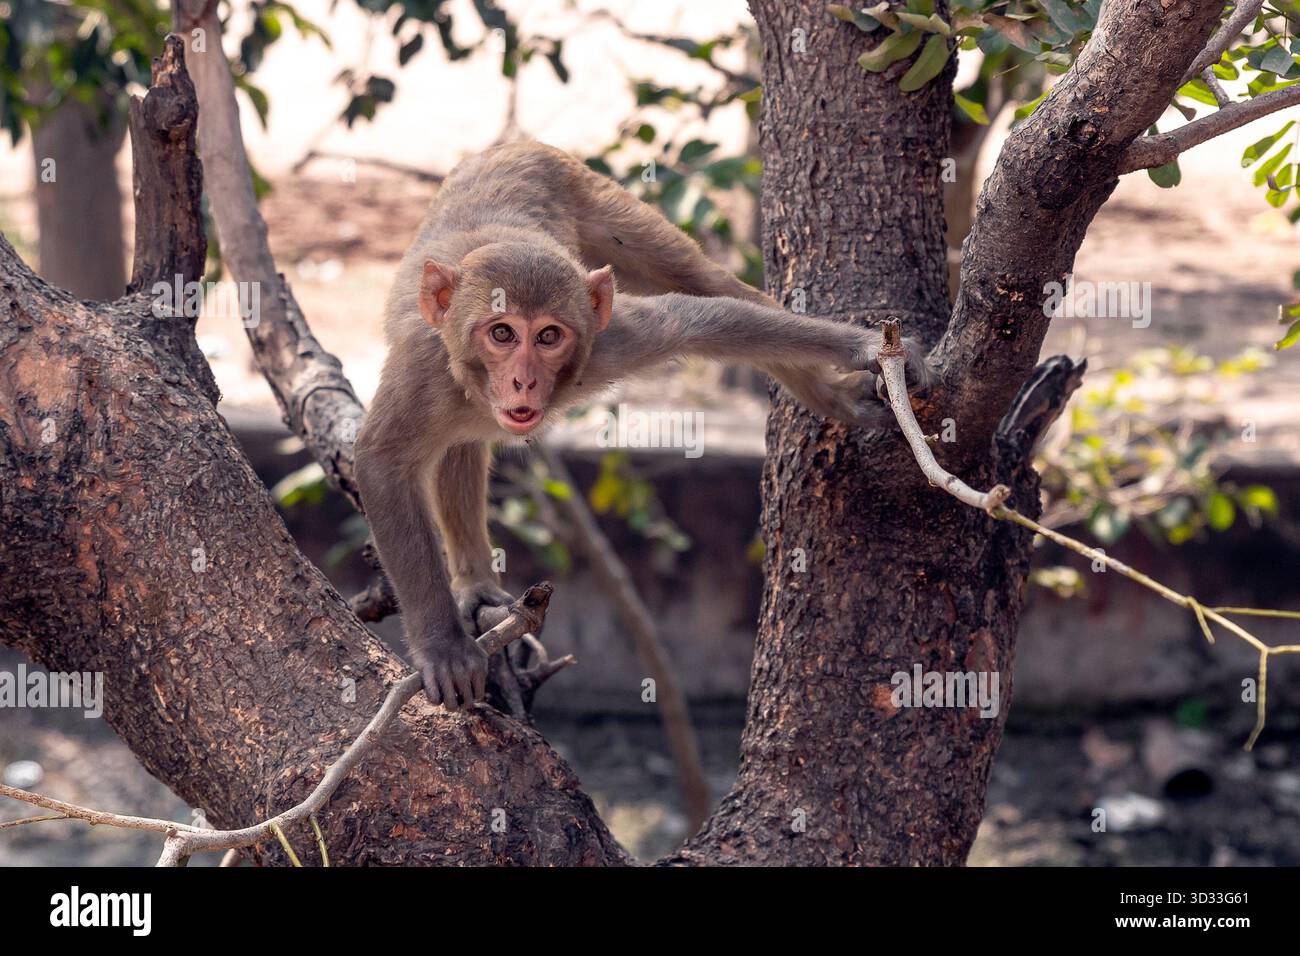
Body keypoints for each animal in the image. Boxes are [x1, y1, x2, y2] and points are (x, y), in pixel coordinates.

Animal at [355, 140, 932, 711]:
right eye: (501, 333)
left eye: (548, 336)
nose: (523, 381)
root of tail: (511, 144)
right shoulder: (425, 368)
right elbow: (381, 462)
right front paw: (444, 647)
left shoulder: (605, 340)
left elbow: (701, 318)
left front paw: (864, 350)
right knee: (461, 446)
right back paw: (474, 581)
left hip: (597, 207)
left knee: (708, 283)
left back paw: (826, 395)